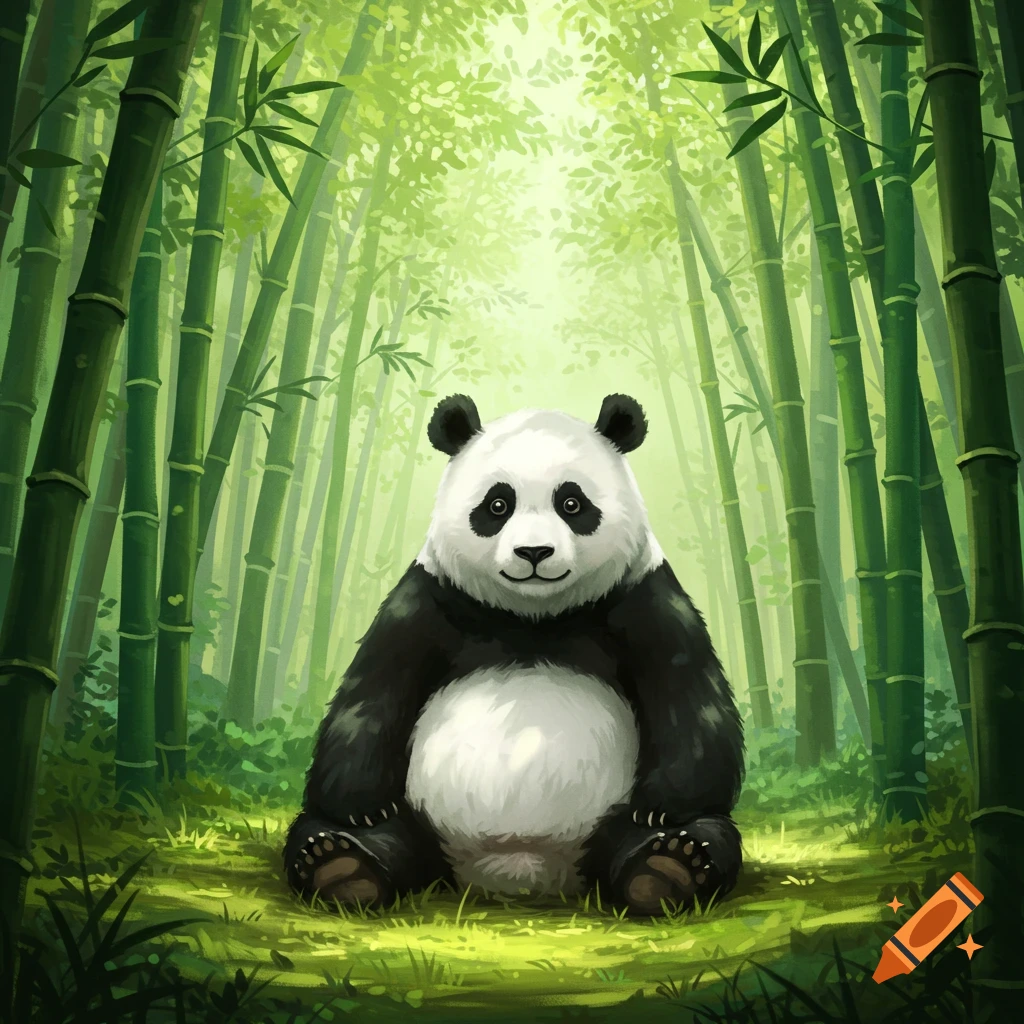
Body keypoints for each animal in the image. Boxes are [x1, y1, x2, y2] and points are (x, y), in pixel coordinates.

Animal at [283, 393, 744, 916]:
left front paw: (666, 807)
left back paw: (668, 868)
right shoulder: (429, 598)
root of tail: (521, 869)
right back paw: (341, 865)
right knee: (354, 831)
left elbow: (687, 693)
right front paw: (359, 804)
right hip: (423, 818)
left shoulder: (641, 596)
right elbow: (375, 689)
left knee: (702, 833)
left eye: (572, 503)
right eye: (497, 504)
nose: (534, 552)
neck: (533, 620)